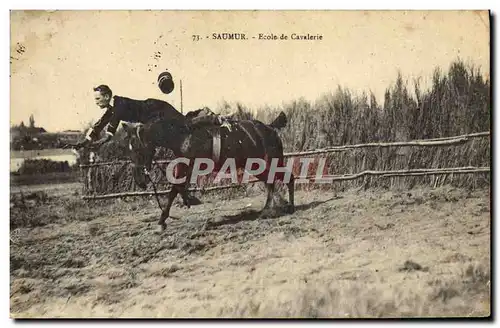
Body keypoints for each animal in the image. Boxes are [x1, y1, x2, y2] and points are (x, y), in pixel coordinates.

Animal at [123, 112, 294, 231]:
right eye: (129, 148)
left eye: (136, 148)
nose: (139, 180)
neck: (183, 136)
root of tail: (271, 128)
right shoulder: (184, 166)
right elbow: (178, 188)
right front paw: (184, 202)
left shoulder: (188, 166)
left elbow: (174, 189)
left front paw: (162, 220)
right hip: (257, 166)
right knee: (273, 182)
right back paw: (275, 207)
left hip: (268, 163)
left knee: (285, 178)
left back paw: (281, 208)